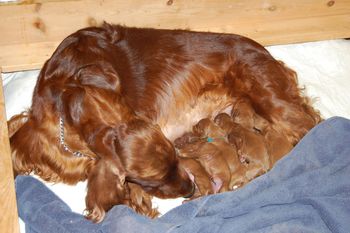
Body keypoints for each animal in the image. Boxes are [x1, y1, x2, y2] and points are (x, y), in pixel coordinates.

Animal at [8, 22, 320, 223]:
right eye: (154, 179)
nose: (190, 189)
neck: (69, 94)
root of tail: (265, 51)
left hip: (269, 97)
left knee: (310, 129)